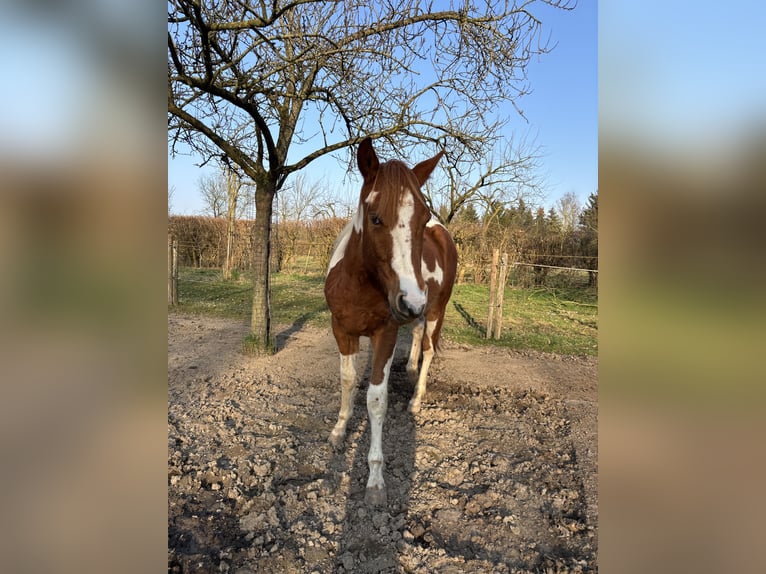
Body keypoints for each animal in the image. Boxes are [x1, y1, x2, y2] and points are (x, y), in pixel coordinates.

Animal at [322, 137, 456, 506]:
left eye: (422, 218)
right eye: (375, 217)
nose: (410, 298)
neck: (359, 282)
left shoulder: (385, 334)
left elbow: (376, 399)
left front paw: (375, 479)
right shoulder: (342, 330)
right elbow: (347, 380)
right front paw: (339, 430)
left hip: (436, 310)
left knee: (429, 349)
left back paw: (415, 400)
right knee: (417, 336)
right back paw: (408, 367)